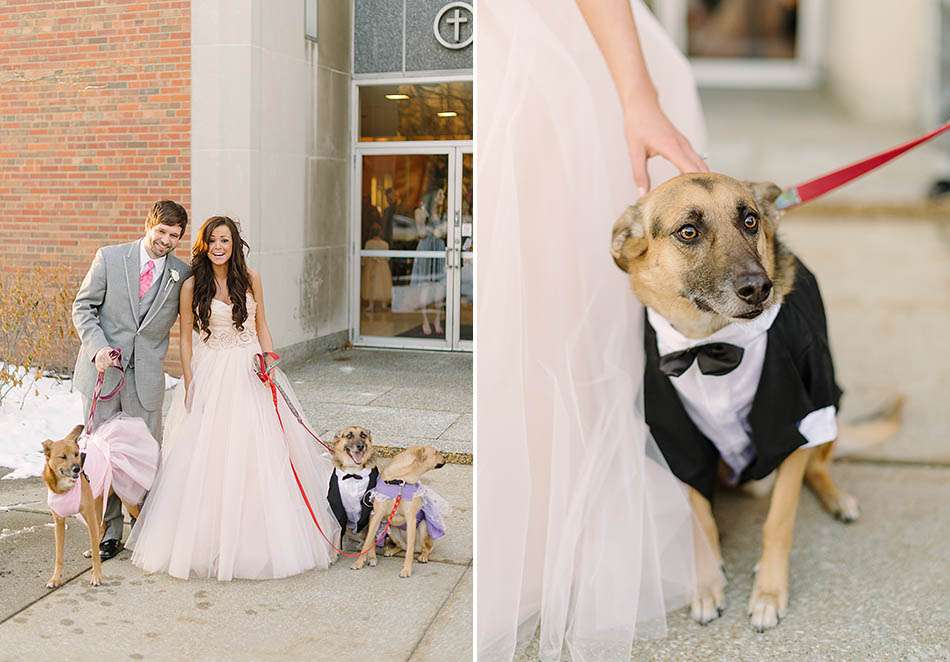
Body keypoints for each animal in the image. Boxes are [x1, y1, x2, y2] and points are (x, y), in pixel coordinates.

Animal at [44, 418, 160, 588]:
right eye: (62, 457)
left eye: (76, 454)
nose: (77, 469)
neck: (64, 488)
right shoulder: (59, 522)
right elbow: (59, 555)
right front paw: (55, 579)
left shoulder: (89, 515)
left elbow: (95, 553)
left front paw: (96, 576)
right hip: (97, 502)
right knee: (103, 525)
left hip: (126, 500)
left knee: (139, 519)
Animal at [352, 446, 448, 580]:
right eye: (436, 452)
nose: (445, 458)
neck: (400, 481)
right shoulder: (376, 515)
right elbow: (368, 542)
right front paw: (359, 562)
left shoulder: (411, 518)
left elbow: (409, 552)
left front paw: (406, 570)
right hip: (392, 531)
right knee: (403, 546)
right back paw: (390, 551)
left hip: (423, 528)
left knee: (426, 547)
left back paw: (423, 556)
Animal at [612, 174, 904, 636]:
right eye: (688, 232)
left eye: (749, 221)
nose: (758, 288)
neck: (710, 344)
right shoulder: (675, 439)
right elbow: (700, 519)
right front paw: (707, 583)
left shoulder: (798, 420)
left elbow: (778, 521)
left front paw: (768, 593)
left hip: (830, 408)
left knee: (818, 467)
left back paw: (836, 498)